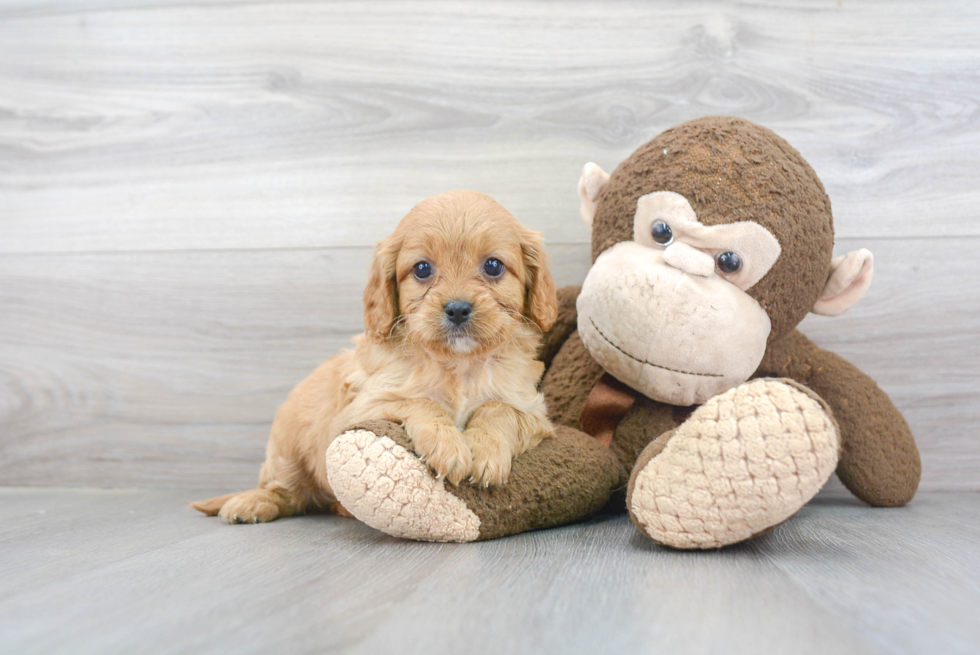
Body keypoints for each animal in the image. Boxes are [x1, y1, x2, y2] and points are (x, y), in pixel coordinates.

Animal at [192, 190, 560, 524]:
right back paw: (252, 503)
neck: (459, 364)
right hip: (287, 450)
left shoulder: (533, 411)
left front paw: (485, 451)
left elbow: (498, 407)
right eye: (422, 269)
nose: (457, 309)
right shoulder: (362, 407)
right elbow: (421, 401)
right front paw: (449, 446)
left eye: (493, 266)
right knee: (286, 491)